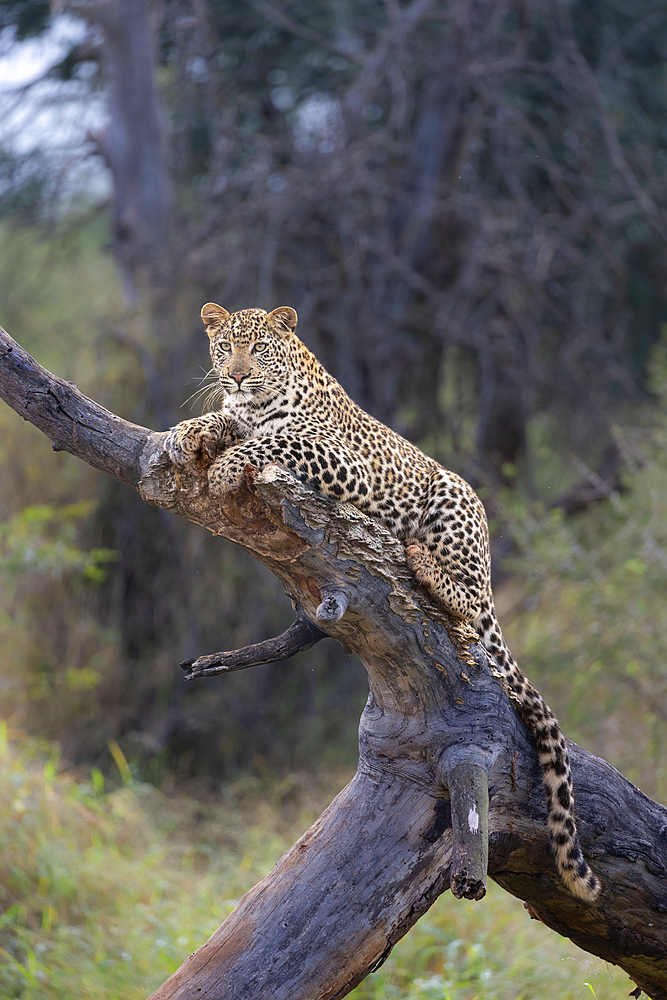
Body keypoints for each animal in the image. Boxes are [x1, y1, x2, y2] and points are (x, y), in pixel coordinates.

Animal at [166, 300, 600, 904]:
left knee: (468, 602)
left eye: (258, 349)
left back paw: (423, 563)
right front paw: (187, 431)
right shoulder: (239, 414)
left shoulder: (339, 458)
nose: (236, 376)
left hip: (452, 503)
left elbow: (274, 442)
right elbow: (223, 424)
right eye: (226, 346)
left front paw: (229, 465)